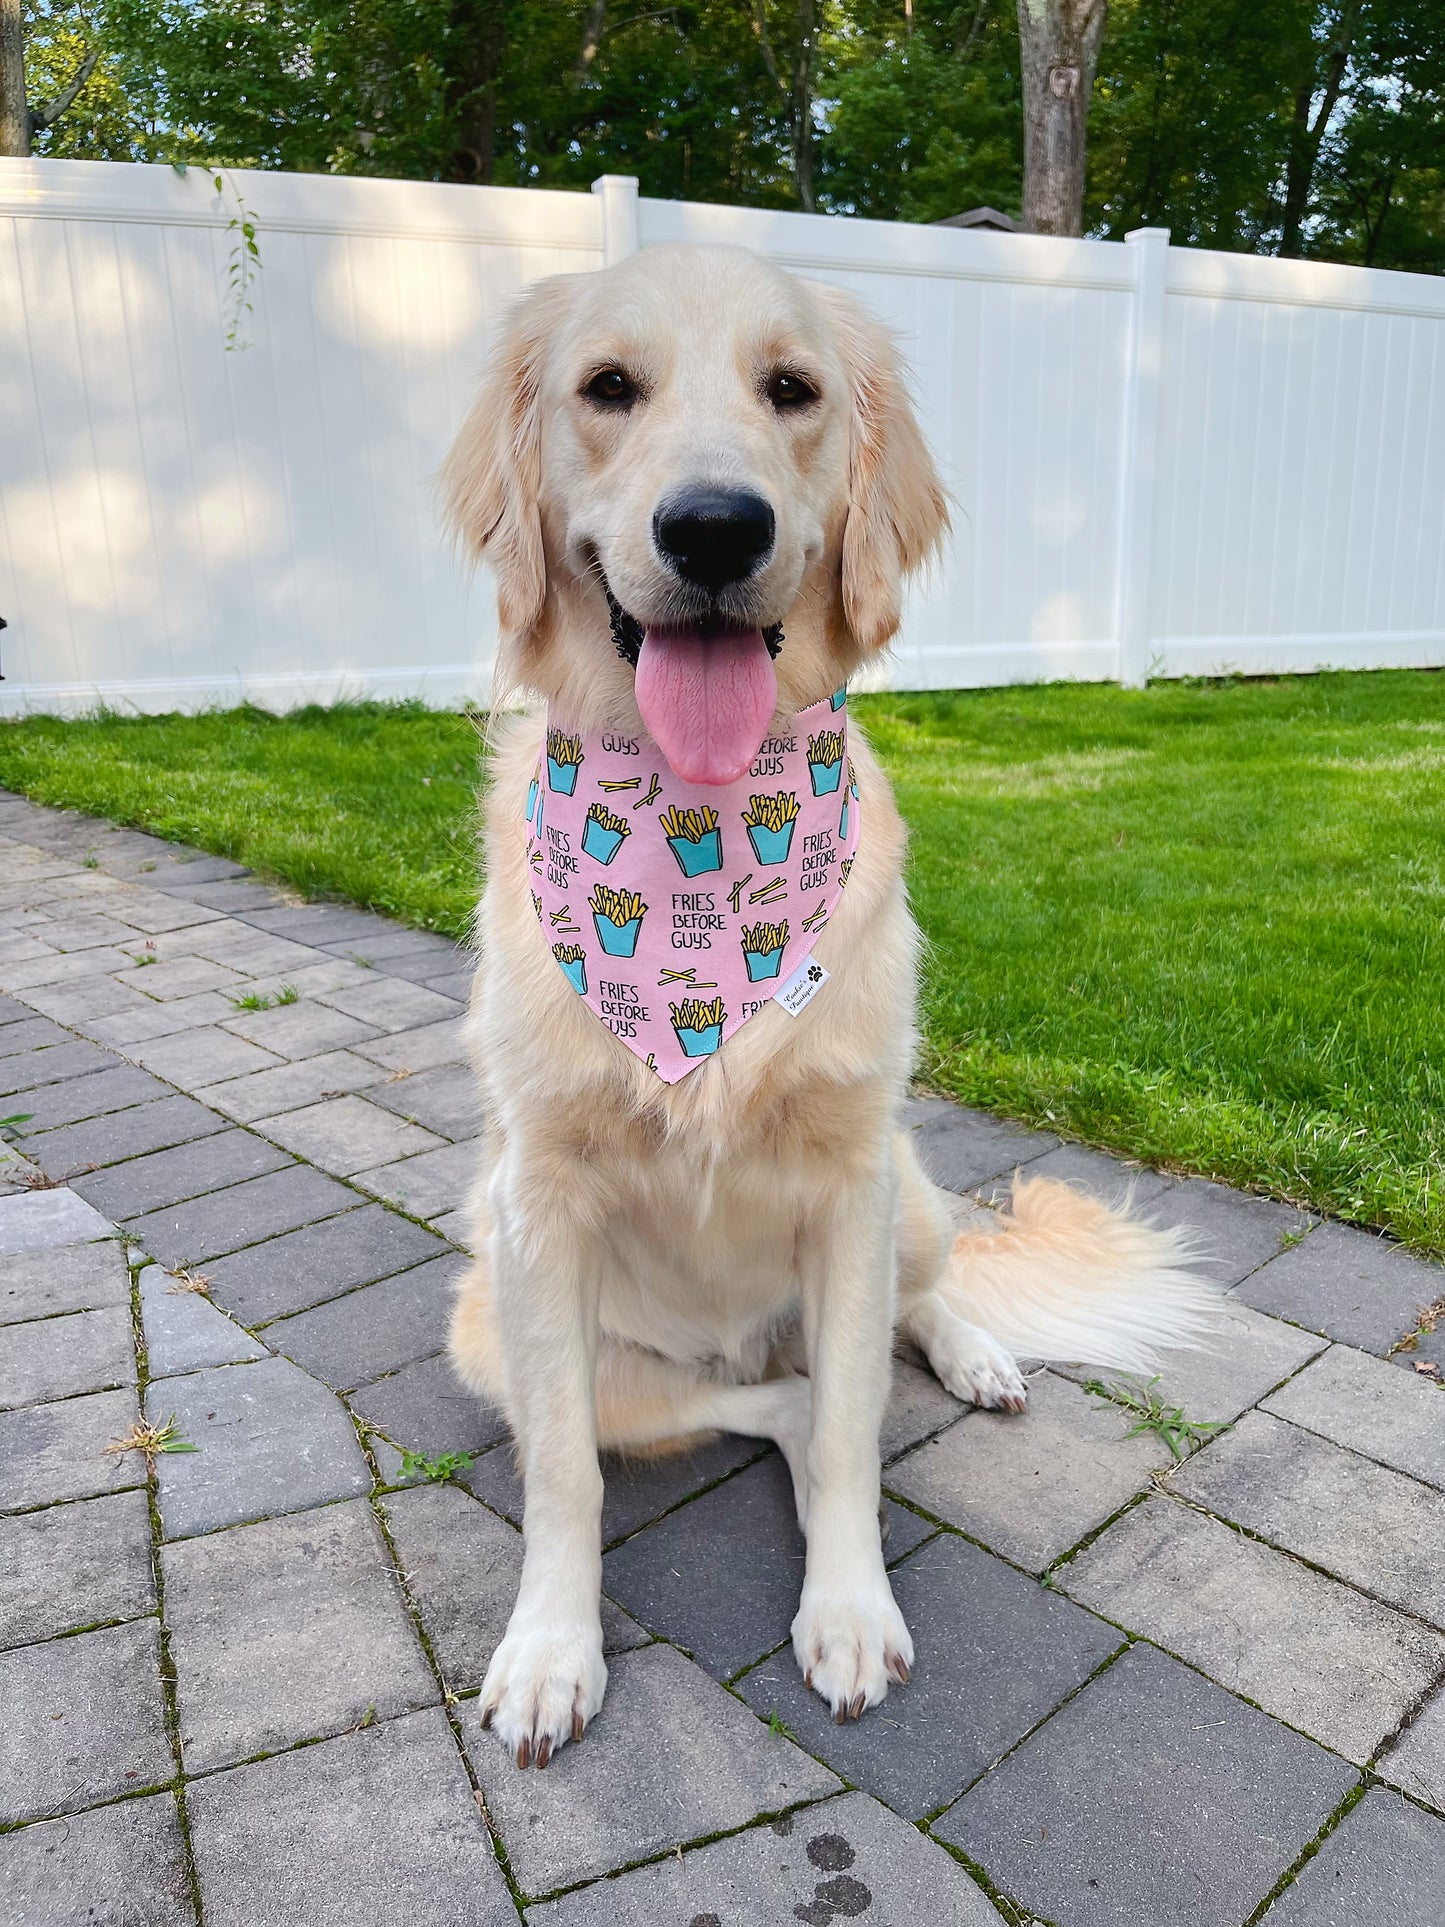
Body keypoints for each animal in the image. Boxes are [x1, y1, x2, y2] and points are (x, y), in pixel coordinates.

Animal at [439, 248, 1209, 1765]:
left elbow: (859, 1429)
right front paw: (550, 1648)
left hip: (903, 1190)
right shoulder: (535, 1205)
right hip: (489, 1314)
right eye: (607, 387)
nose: (714, 530)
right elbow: (568, 1472)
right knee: (756, 1399)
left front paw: (848, 1612)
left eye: (790, 389)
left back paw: (973, 1356)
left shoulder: (851, 1183)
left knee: (912, 1310)